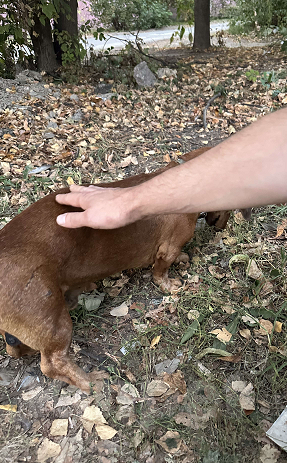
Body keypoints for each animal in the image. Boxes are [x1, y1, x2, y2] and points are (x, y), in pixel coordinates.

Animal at [0, 147, 245, 394]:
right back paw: (91, 381)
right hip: (56, 323)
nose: (222, 226)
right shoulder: (169, 249)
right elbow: (161, 272)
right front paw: (170, 285)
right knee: (52, 364)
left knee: (15, 346)